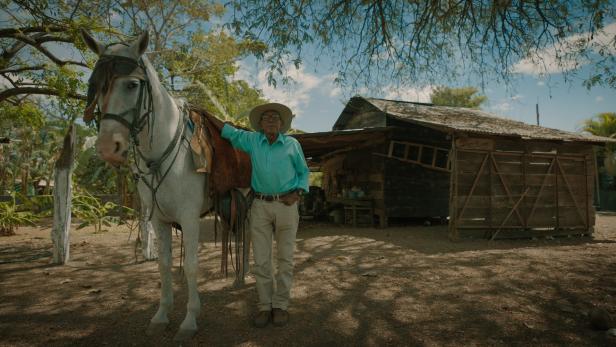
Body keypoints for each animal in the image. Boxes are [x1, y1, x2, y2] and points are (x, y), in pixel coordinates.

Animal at [81, 30, 209, 342]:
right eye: (95, 86)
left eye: (132, 84)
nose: (108, 148)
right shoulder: (159, 220)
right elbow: (163, 266)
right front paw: (161, 315)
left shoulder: (190, 218)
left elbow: (190, 266)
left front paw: (190, 320)